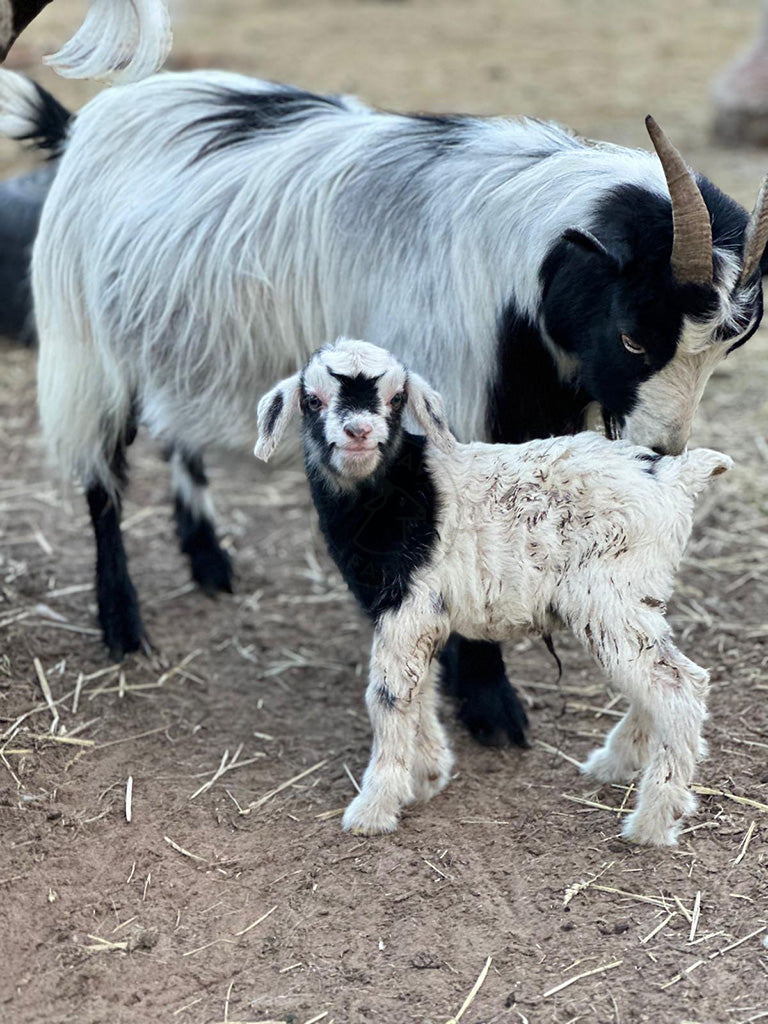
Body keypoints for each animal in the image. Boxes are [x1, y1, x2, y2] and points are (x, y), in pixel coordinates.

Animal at [3, 70, 765, 745]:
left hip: (176, 343)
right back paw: (122, 625)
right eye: (634, 336)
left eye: (726, 347)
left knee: (176, 432)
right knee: (101, 479)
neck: (514, 274)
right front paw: (489, 702)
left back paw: (207, 558)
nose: (662, 451)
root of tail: (82, 123)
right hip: (86, 348)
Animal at [257, 339, 733, 843]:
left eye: (397, 398)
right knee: (655, 680)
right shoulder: (418, 616)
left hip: (609, 595)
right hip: (636, 597)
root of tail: (676, 476)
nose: (359, 431)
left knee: (679, 686)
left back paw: (652, 821)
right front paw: (427, 775)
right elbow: (421, 689)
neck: (394, 491)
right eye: (313, 400)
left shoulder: (406, 606)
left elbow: (388, 697)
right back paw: (615, 763)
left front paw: (373, 808)